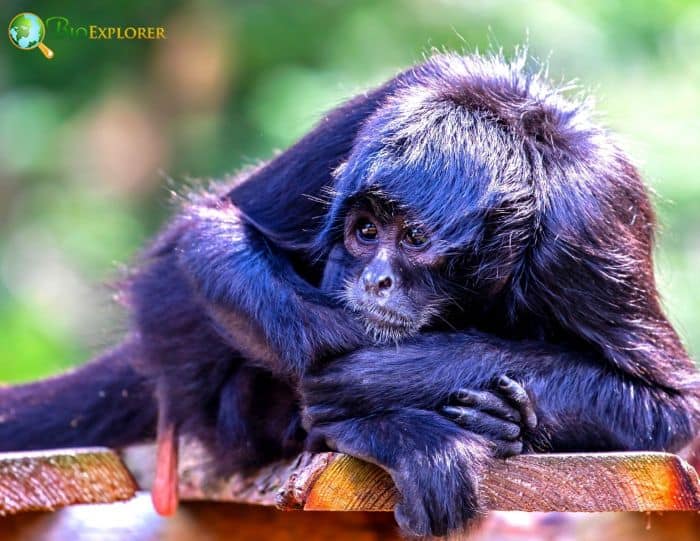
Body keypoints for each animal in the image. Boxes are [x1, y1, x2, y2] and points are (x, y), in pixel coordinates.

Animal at [1, 52, 698, 538]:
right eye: (365, 232)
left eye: (413, 238)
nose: (373, 278)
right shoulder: (383, 106)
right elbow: (193, 243)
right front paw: (369, 374)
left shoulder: (588, 221)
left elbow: (671, 411)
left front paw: (394, 374)